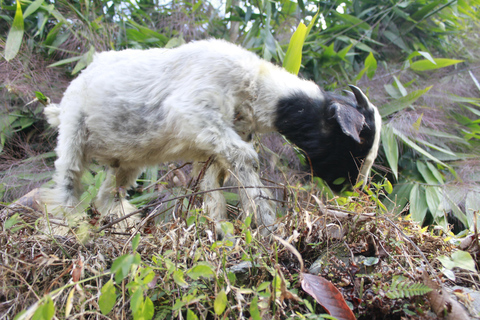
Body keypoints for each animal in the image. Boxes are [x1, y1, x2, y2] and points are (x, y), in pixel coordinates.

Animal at [43, 38, 380, 238]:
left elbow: (213, 186)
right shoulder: (194, 112)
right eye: (358, 141)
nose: (354, 190)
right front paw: (268, 228)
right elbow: (248, 161)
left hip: (127, 161)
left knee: (106, 196)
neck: (255, 84)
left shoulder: (214, 148)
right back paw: (65, 229)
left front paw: (221, 230)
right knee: (68, 181)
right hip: (73, 133)